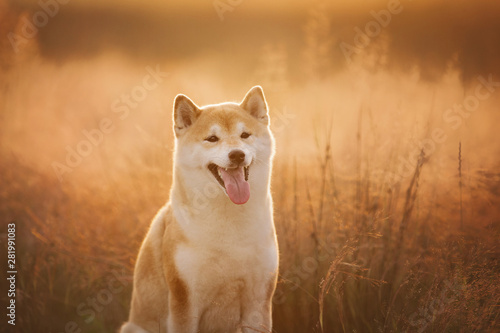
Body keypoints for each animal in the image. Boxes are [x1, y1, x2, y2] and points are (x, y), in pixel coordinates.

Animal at [119, 86, 280, 332]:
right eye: (212, 139)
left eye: (245, 135)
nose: (237, 154)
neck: (229, 229)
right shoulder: (185, 302)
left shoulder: (258, 301)